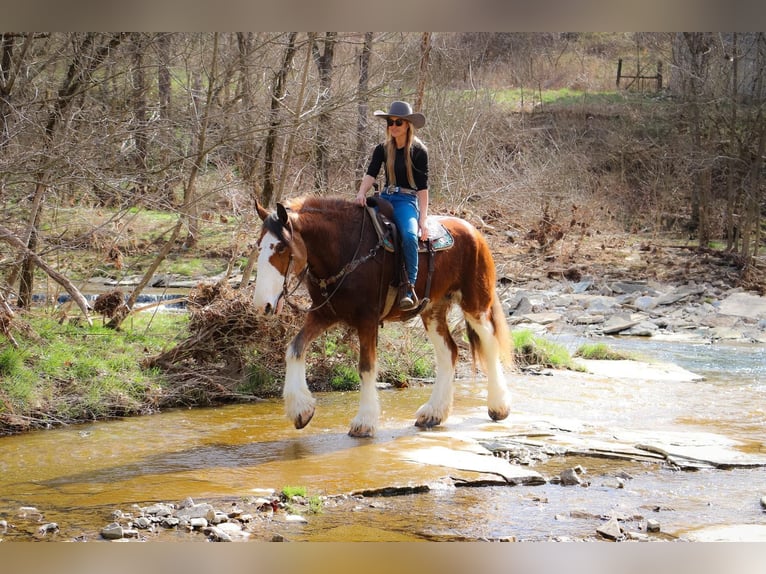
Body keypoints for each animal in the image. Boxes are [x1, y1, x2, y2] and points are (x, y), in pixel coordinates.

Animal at [254, 196, 516, 438]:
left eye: (280, 247)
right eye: (259, 245)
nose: (262, 304)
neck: (346, 248)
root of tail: (474, 232)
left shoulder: (367, 319)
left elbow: (366, 367)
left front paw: (364, 422)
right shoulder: (324, 314)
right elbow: (294, 349)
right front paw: (301, 411)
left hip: (475, 305)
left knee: (490, 345)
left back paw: (498, 406)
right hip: (433, 311)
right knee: (449, 352)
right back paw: (433, 413)